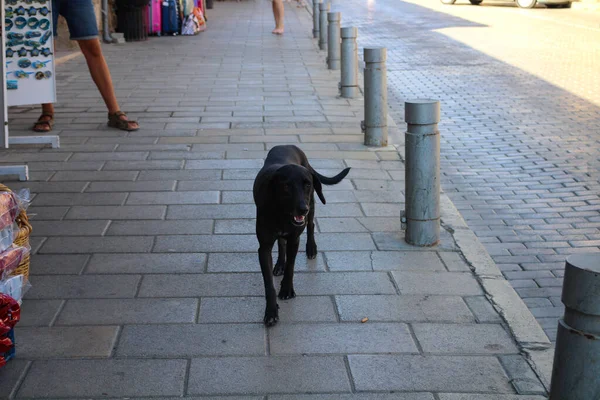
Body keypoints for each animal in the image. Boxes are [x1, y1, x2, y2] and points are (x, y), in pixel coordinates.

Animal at [253, 145, 352, 326]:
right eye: (286, 186)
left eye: (307, 184)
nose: (302, 209)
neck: (283, 213)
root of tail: (289, 146)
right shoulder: (264, 248)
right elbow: (269, 284)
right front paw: (271, 311)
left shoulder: (295, 239)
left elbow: (291, 267)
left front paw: (286, 289)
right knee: (281, 243)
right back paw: (279, 264)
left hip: (312, 202)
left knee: (311, 225)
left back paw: (311, 248)